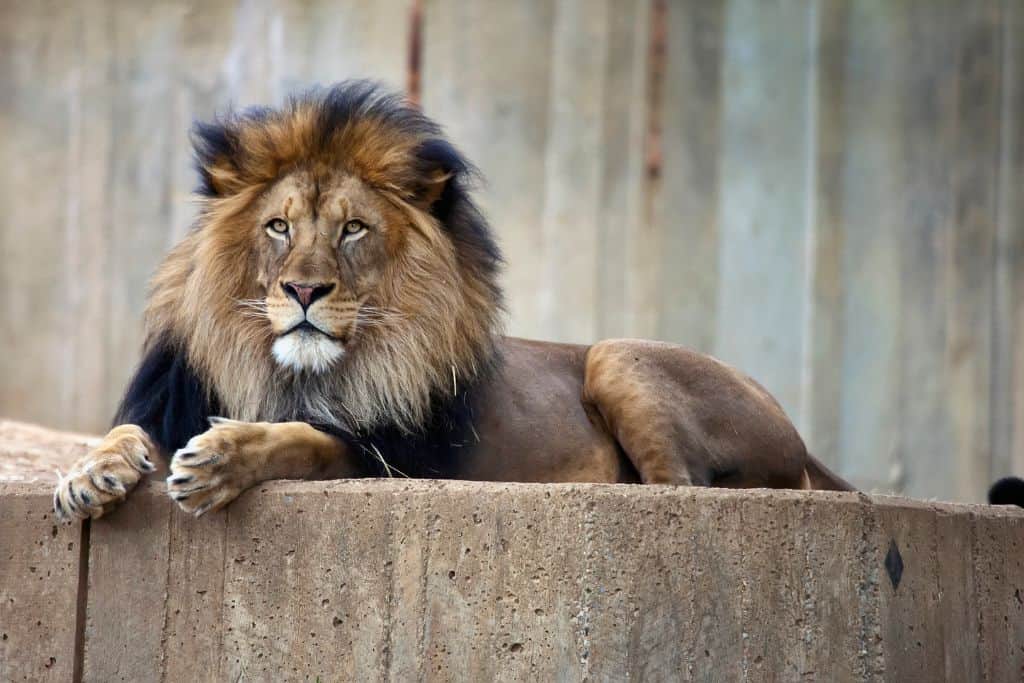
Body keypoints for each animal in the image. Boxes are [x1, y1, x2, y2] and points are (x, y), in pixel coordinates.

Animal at [54, 77, 864, 520]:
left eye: (352, 229)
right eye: (278, 226)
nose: (304, 289)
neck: (290, 370)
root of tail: (805, 444)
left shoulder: (397, 459)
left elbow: (306, 438)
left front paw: (224, 457)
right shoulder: (171, 399)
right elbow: (125, 431)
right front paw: (88, 474)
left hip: (616, 356)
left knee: (683, 490)